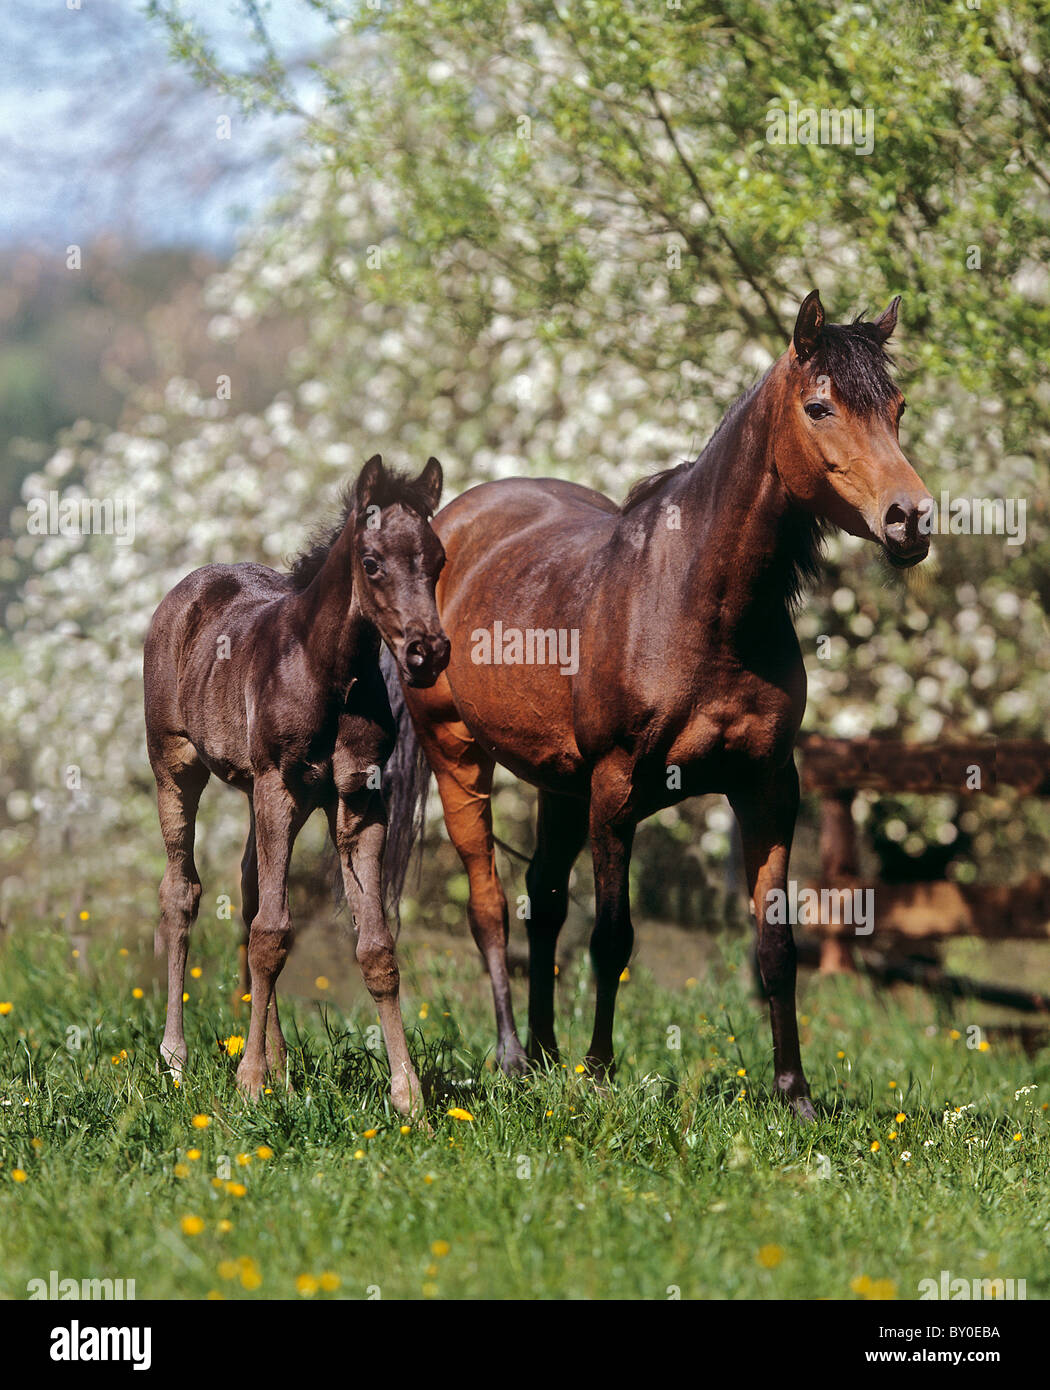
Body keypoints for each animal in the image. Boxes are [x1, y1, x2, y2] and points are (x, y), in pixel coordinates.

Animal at [142, 461, 447, 1112]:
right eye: (372, 561)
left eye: (437, 558)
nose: (427, 652)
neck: (326, 671)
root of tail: (187, 589)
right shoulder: (278, 786)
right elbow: (271, 934)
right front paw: (250, 1083)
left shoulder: (357, 800)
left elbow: (374, 946)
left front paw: (408, 1096)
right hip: (176, 763)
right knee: (182, 892)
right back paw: (176, 1057)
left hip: (265, 793)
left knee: (252, 890)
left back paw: (282, 1064)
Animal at [392, 293, 929, 1117]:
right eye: (820, 408)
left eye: (897, 408)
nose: (913, 518)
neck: (700, 606)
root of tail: (456, 520)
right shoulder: (616, 790)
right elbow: (612, 937)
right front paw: (602, 1073)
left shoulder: (768, 789)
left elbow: (777, 944)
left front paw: (795, 1096)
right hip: (458, 754)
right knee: (488, 905)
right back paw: (514, 1059)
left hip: (558, 783)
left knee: (542, 898)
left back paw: (544, 1056)